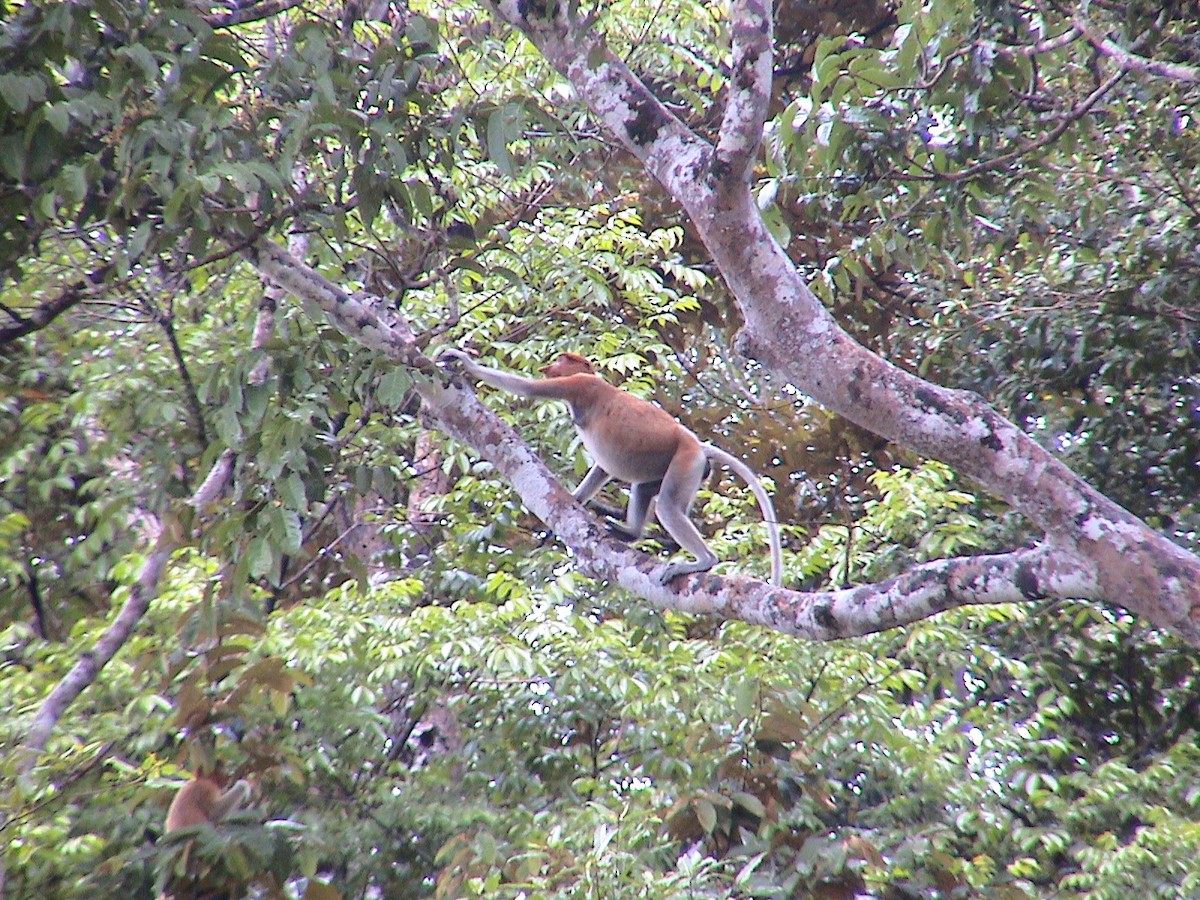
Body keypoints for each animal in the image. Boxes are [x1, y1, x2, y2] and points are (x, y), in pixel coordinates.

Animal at [436, 348, 783, 586]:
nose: (549, 365)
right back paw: (630, 532)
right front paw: (573, 502)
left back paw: (701, 562)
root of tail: (697, 444)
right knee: (644, 488)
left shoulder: (578, 384)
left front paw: (463, 362)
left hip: (685, 462)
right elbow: (603, 469)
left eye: (562, 359)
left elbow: (530, 389)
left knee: (668, 507)